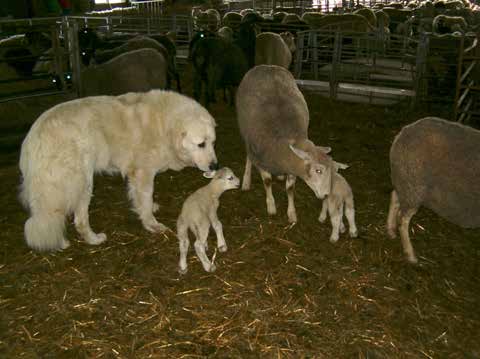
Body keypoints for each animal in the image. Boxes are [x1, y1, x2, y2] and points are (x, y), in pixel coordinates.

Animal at [19, 90, 218, 253]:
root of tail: (34, 137)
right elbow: (146, 199)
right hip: (82, 183)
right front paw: (152, 224)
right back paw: (94, 239)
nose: (215, 166)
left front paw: (147, 209)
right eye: (201, 144)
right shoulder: (143, 173)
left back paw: (61, 242)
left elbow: (141, 199)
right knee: (78, 220)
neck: (165, 126)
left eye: (212, 143)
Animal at [235, 64, 342, 222]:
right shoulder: (261, 157)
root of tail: (267, 66)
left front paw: (291, 213)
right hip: (247, 136)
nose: (326, 195)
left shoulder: (291, 166)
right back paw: (246, 181)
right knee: (248, 156)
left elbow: (290, 189)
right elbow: (267, 182)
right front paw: (271, 206)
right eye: (318, 170)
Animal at [386, 118, 480, 264]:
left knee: (394, 196)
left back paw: (390, 231)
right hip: (414, 186)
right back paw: (410, 255)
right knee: (402, 220)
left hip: (405, 182)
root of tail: (404, 131)